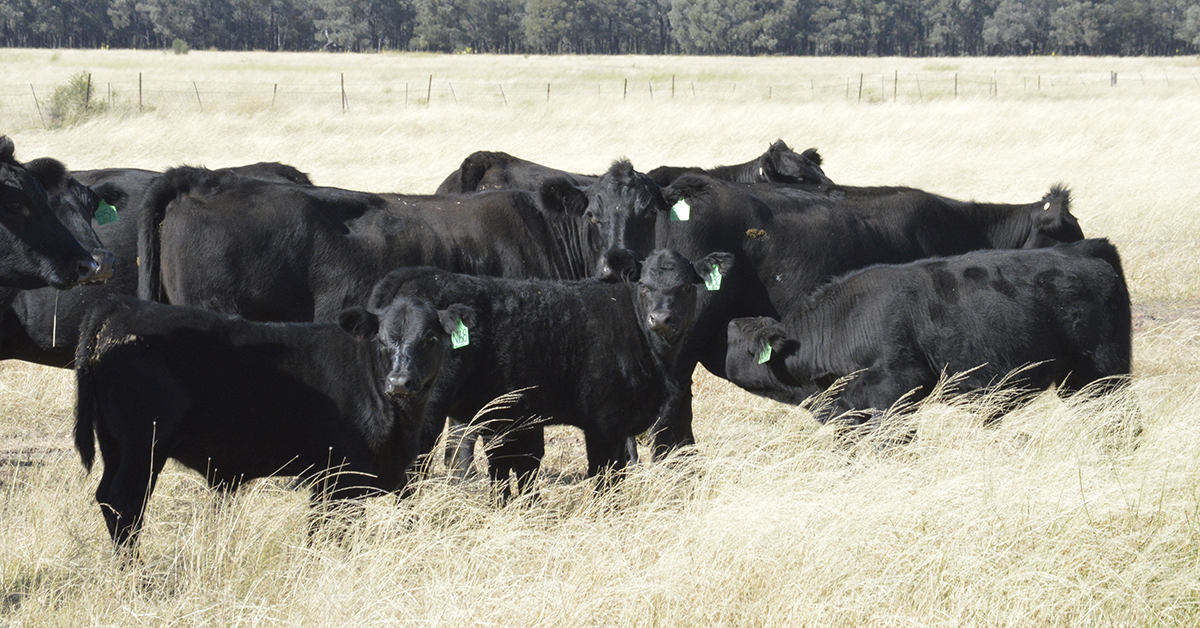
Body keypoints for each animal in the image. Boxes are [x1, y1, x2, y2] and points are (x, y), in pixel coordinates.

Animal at [74, 293, 471, 550]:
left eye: (430, 339)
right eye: (383, 341)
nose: (400, 382)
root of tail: (121, 306)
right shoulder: (340, 475)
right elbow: (330, 532)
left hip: (114, 445)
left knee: (108, 499)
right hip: (143, 446)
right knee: (126, 503)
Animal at [367, 248, 734, 497]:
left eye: (686, 287)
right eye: (644, 286)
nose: (661, 318)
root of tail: (410, 274)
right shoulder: (603, 421)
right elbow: (603, 478)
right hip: (422, 405)